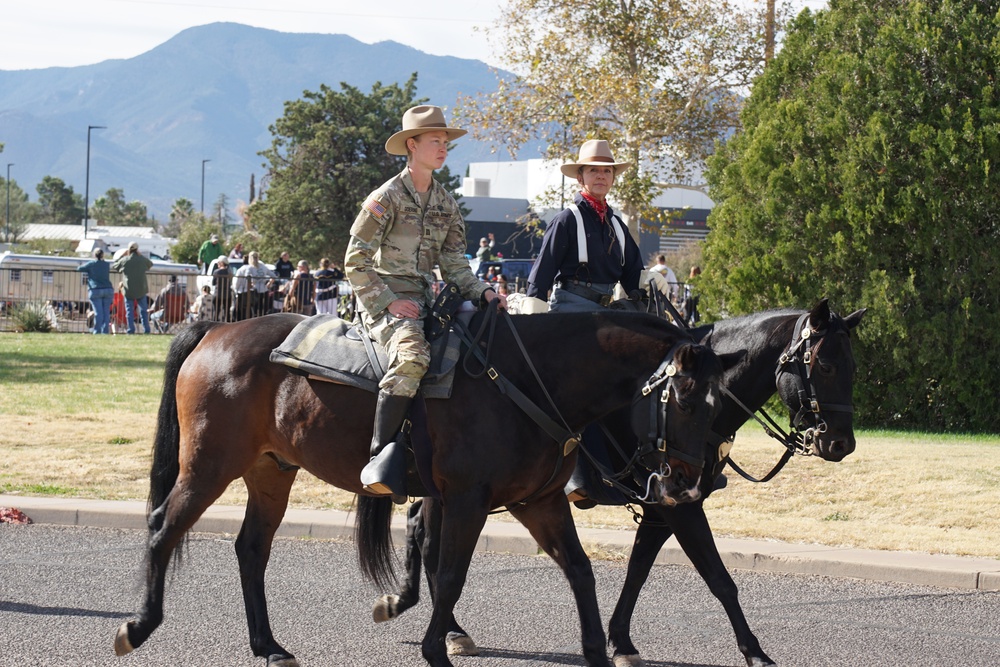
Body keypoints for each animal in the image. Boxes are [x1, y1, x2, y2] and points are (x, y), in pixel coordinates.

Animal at [115, 308, 728, 667]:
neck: (524, 381)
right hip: (210, 466)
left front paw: (598, 652)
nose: (690, 481)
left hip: (270, 471)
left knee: (250, 549)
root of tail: (217, 328)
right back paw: (140, 626)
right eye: (687, 399)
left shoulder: (539, 502)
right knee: (163, 527)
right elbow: (449, 573)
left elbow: (579, 571)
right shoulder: (466, 501)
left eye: (718, 401)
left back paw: (268, 646)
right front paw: (438, 647)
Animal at [372, 298, 864, 667]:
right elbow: (718, 578)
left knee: (421, 528)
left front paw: (620, 641)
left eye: (854, 366)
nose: (841, 442)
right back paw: (442, 624)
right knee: (427, 537)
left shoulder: (665, 504)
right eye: (823, 365)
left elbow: (639, 568)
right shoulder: (677, 505)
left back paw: (427, 612)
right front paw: (756, 652)